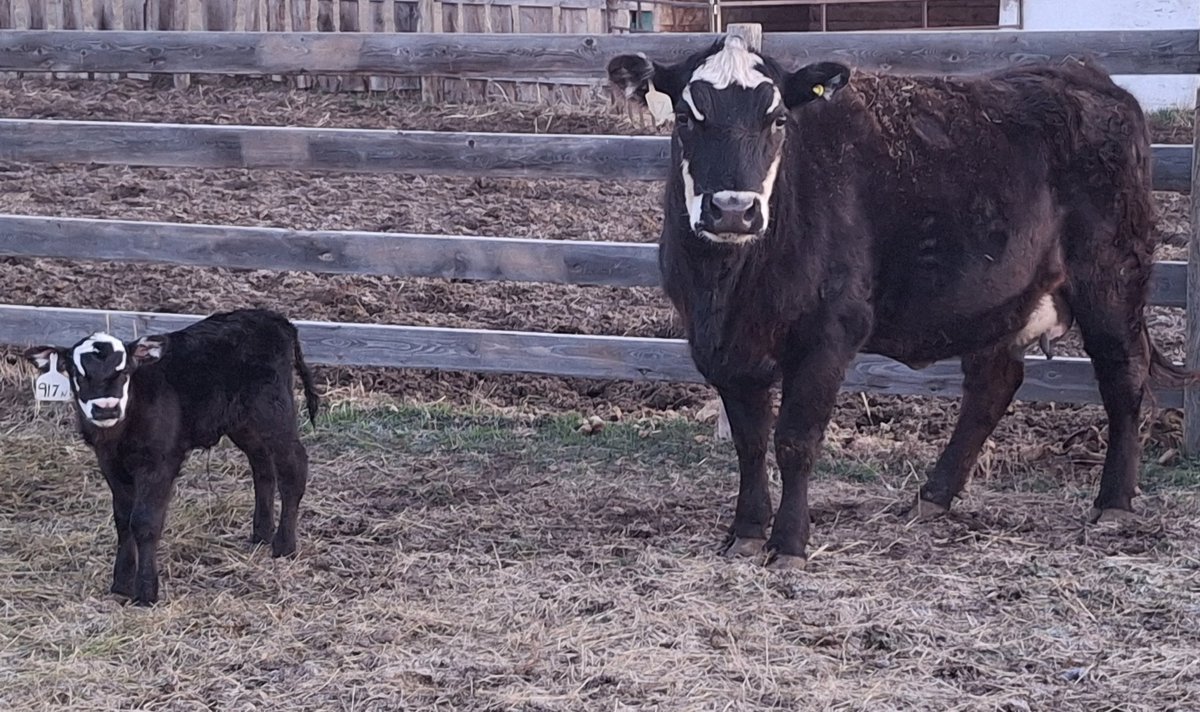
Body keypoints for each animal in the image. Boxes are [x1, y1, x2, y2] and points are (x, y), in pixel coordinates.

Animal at [23, 308, 320, 605]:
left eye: (124, 371)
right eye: (77, 374)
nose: (105, 409)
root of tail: (274, 318)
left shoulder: (159, 462)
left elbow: (144, 521)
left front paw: (145, 592)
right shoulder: (109, 463)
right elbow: (123, 520)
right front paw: (121, 582)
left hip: (274, 411)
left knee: (293, 465)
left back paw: (284, 544)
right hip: (242, 421)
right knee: (262, 466)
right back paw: (261, 533)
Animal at [606, 36, 1195, 569]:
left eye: (776, 120)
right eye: (687, 117)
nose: (733, 209)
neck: (728, 285)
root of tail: (1083, 76)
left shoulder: (829, 331)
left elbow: (796, 439)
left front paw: (789, 543)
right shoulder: (721, 343)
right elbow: (750, 442)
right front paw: (747, 532)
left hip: (1111, 279)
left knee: (1123, 377)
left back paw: (1114, 503)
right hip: (1000, 298)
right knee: (993, 385)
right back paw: (933, 496)